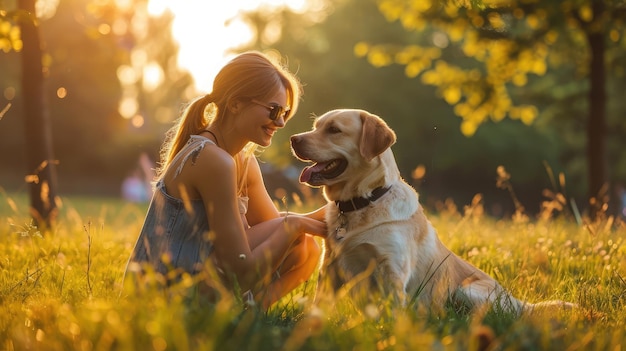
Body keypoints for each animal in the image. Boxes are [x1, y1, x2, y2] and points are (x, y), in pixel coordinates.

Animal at [290, 109, 572, 316]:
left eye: (334, 130)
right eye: (316, 126)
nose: (293, 138)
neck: (364, 201)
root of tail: (519, 302)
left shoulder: (391, 268)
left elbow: (391, 310)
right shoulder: (330, 267)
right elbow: (318, 306)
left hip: (468, 291)